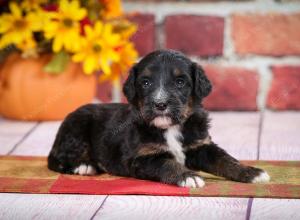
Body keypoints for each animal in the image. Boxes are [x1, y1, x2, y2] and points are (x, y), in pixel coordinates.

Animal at [48, 49, 270, 187]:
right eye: (145, 82)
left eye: (180, 82)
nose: (160, 104)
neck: (170, 128)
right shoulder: (142, 157)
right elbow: (167, 163)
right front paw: (188, 176)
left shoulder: (201, 146)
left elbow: (226, 159)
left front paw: (252, 172)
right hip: (76, 129)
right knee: (56, 160)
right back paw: (84, 166)